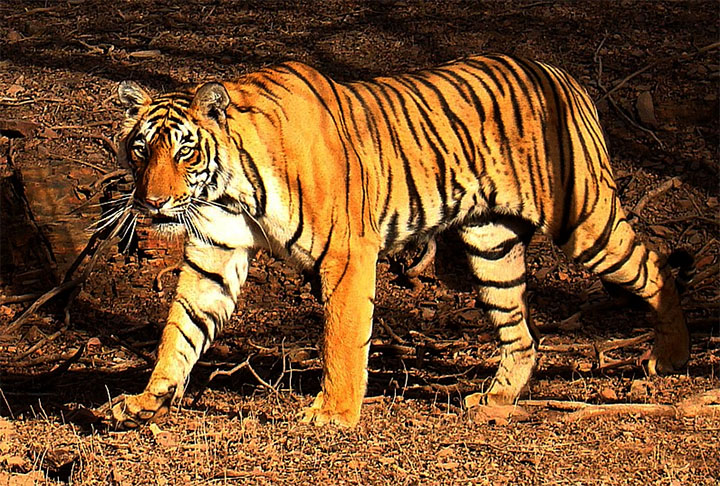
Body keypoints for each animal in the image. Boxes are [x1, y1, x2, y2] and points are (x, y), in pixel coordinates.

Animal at [108, 54, 690, 428]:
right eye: (140, 149)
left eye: (183, 151)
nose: (153, 202)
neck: (228, 190)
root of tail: (562, 75)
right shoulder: (216, 252)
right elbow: (180, 331)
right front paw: (146, 400)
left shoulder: (346, 253)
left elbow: (342, 337)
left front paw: (333, 415)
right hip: (492, 245)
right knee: (521, 335)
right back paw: (497, 399)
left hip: (584, 219)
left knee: (655, 268)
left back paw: (671, 358)